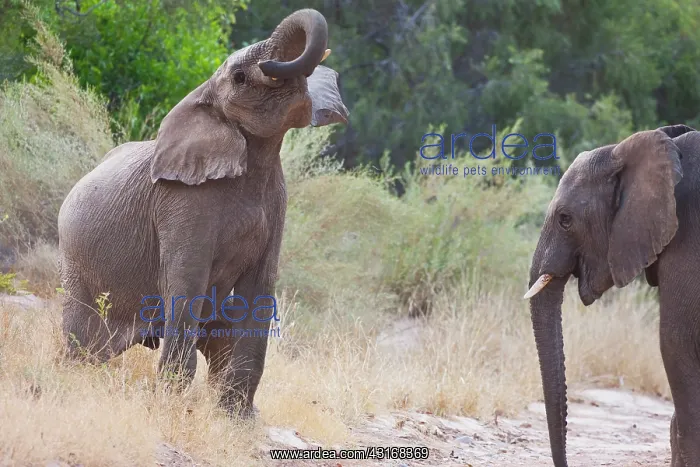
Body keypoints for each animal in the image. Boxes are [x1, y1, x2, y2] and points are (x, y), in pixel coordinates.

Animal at [57, 8, 349, 417]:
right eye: (240, 77)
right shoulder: (182, 202)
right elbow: (186, 281)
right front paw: (169, 407)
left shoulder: (278, 201)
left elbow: (260, 287)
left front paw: (237, 419)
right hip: (75, 267)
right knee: (81, 344)